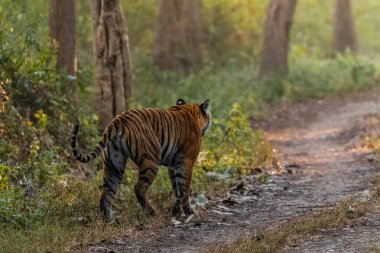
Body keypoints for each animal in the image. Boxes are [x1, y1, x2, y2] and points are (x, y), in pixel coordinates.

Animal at [71, 98, 211, 220]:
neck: (189, 109)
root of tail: (117, 120)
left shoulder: (173, 166)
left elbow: (178, 188)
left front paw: (184, 210)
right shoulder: (187, 161)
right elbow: (185, 188)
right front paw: (180, 210)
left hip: (114, 164)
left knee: (106, 193)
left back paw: (109, 220)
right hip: (150, 160)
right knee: (139, 188)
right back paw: (152, 212)